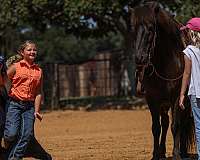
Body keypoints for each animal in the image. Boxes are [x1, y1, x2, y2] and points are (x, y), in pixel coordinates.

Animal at [131, 1, 195, 160]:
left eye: (151, 28)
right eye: (133, 28)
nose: (139, 58)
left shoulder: (177, 97)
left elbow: (176, 125)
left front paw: (176, 154)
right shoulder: (152, 99)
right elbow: (156, 127)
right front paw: (155, 154)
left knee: (183, 122)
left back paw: (183, 151)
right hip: (163, 103)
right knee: (165, 123)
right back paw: (162, 151)